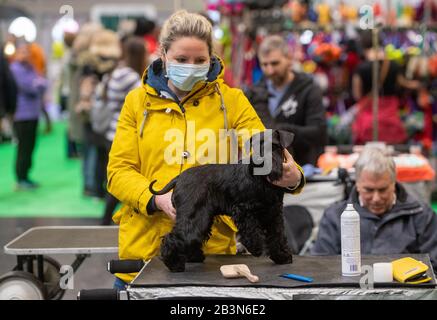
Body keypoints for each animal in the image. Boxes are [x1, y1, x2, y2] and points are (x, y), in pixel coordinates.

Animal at [150, 129, 296, 272]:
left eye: (274, 146)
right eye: (255, 147)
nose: (261, 162)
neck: (263, 180)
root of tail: (179, 178)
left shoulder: (274, 212)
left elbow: (277, 235)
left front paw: (282, 257)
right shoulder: (243, 210)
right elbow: (252, 230)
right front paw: (256, 248)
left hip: (202, 217)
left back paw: (193, 257)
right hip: (195, 216)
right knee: (175, 237)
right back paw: (175, 264)